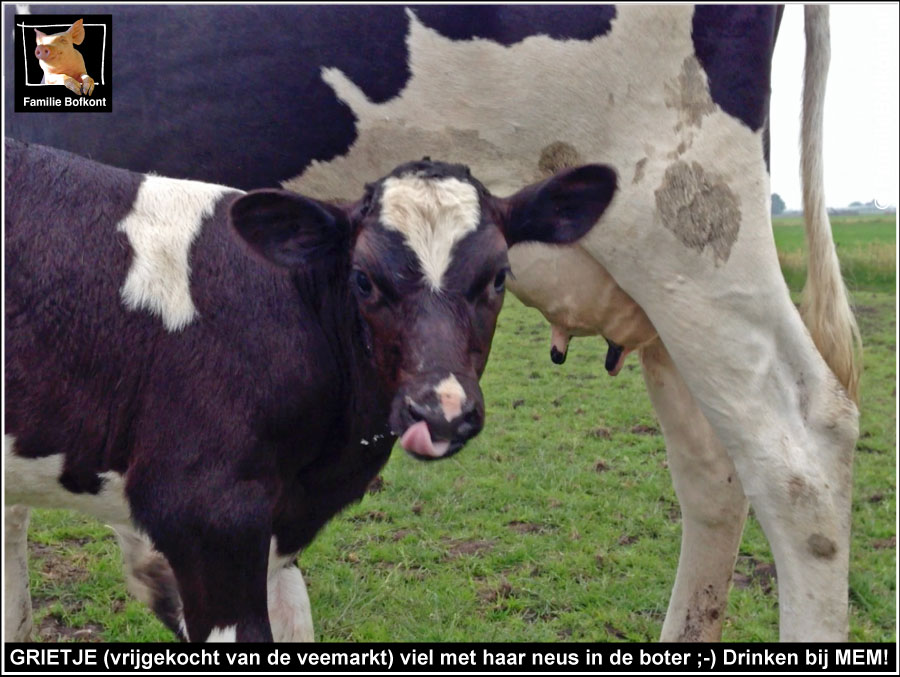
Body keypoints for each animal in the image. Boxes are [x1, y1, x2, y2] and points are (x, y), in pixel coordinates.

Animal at [7, 3, 864, 640]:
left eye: (496, 277)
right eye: (363, 279)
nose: (437, 409)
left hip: (687, 216)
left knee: (801, 460)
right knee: (714, 473)